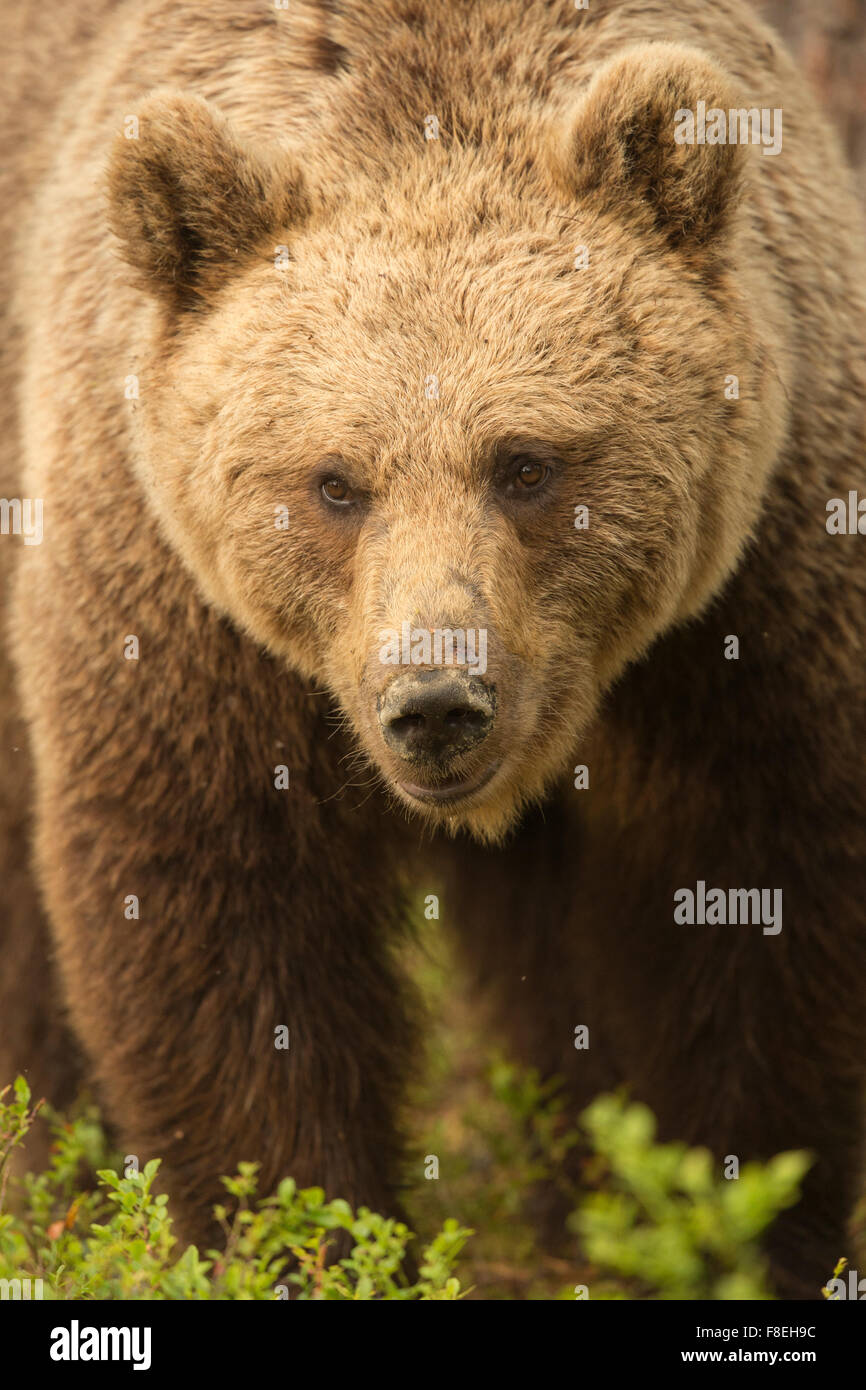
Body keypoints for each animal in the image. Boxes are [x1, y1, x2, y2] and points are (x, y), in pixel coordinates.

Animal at [1, 0, 864, 1300]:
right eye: (334, 482)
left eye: (525, 463)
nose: (436, 700)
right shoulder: (175, 606)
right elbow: (221, 914)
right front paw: (303, 1234)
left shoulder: (754, 599)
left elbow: (758, 905)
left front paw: (712, 1227)